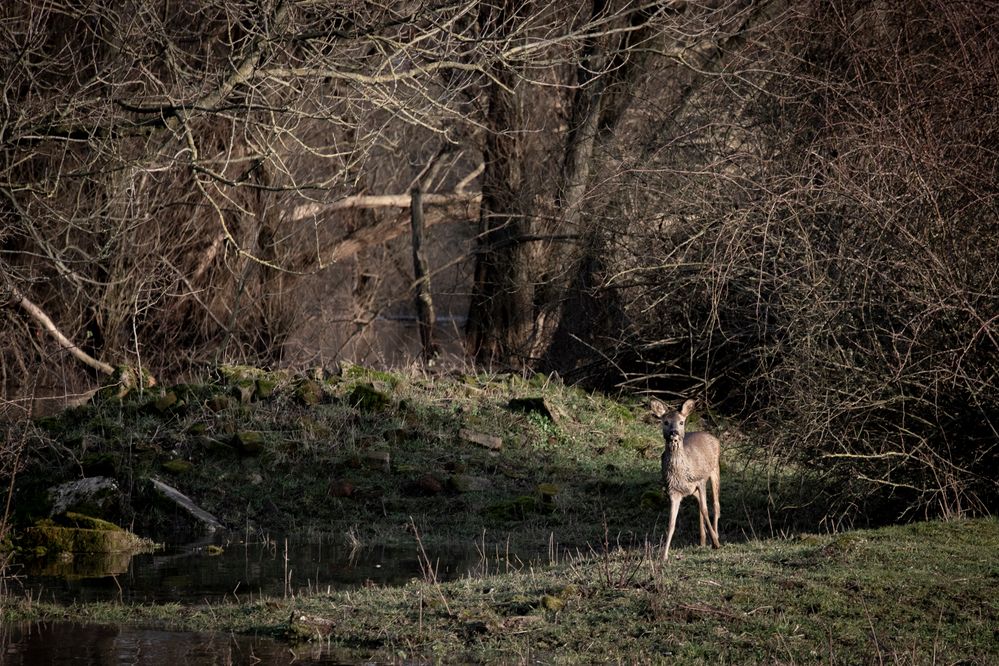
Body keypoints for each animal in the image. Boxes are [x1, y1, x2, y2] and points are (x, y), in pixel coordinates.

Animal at [652, 396, 724, 556]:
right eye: (665, 422)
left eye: (681, 422)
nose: (674, 432)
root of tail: (713, 437)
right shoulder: (673, 490)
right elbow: (671, 523)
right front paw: (664, 555)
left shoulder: (700, 480)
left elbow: (705, 510)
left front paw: (716, 543)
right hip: (693, 489)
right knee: (700, 507)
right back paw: (703, 541)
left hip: (714, 469)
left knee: (715, 505)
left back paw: (715, 536)